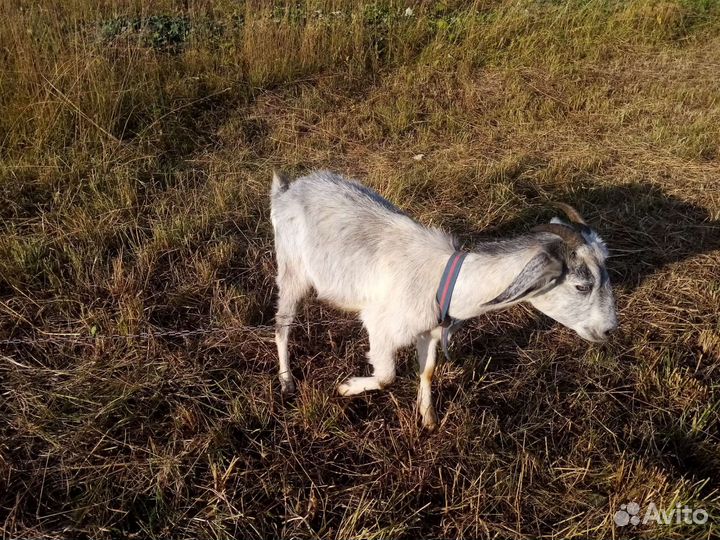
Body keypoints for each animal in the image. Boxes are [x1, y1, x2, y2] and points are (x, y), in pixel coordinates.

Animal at [270, 170, 617, 429]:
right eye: (582, 286)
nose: (610, 330)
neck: (446, 281)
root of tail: (287, 190)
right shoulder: (381, 329)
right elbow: (386, 377)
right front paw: (346, 387)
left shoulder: (431, 331)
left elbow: (428, 370)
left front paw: (429, 418)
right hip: (291, 270)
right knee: (281, 326)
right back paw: (287, 382)